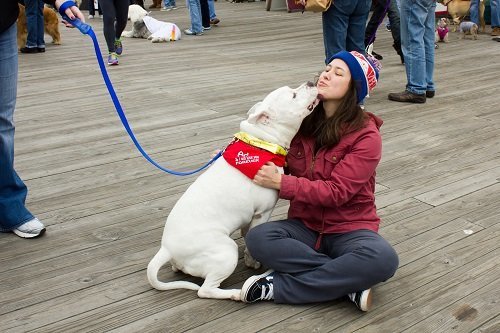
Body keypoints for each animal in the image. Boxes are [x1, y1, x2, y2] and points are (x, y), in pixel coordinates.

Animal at [148, 82, 318, 298]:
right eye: (294, 96)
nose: (311, 83)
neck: (263, 144)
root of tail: (167, 249)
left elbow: (247, 233)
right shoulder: (262, 213)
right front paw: (253, 262)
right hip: (226, 251)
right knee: (205, 290)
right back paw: (235, 293)